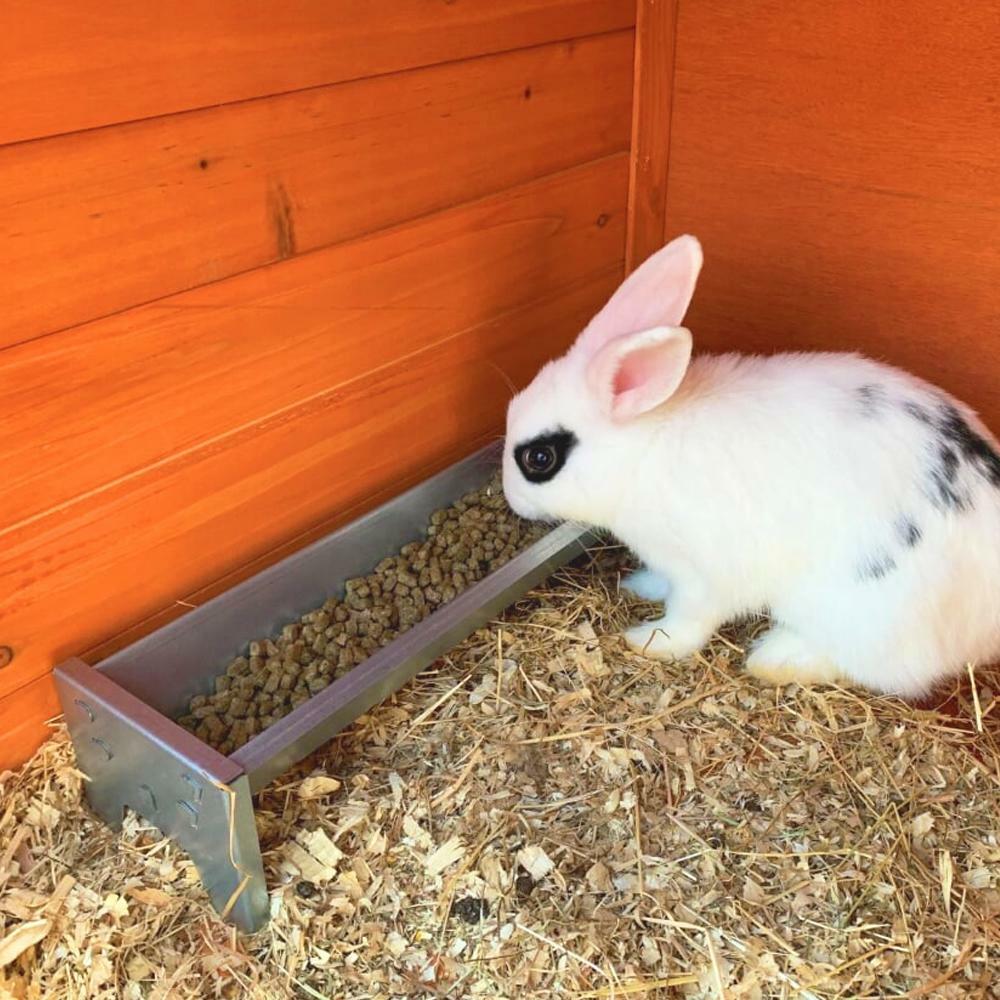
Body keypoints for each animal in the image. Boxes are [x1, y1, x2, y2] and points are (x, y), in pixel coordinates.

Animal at [501, 234, 1000, 697]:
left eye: (540, 458)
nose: (511, 500)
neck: (644, 446)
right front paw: (639, 585)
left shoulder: (705, 576)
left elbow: (689, 619)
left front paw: (649, 641)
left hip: (865, 614)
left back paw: (775, 659)